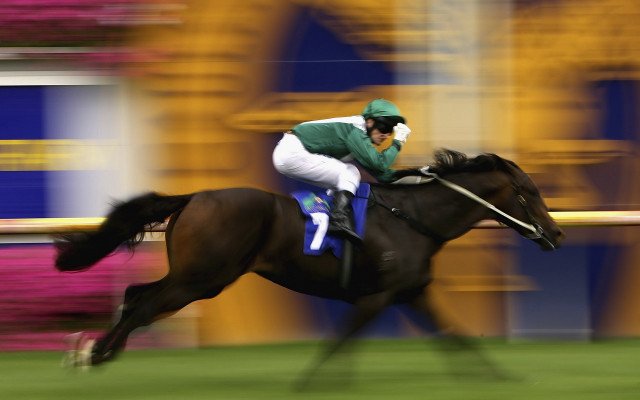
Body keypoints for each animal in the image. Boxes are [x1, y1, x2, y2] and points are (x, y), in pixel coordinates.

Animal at [54, 148, 563, 380]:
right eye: (530, 192)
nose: (557, 233)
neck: (414, 217)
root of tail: (193, 196)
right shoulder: (377, 296)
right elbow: (340, 340)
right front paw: (313, 381)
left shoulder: (411, 292)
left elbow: (454, 334)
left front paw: (498, 376)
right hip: (203, 278)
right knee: (143, 305)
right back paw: (95, 354)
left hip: (192, 275)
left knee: (134, 295)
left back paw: (97, 350)